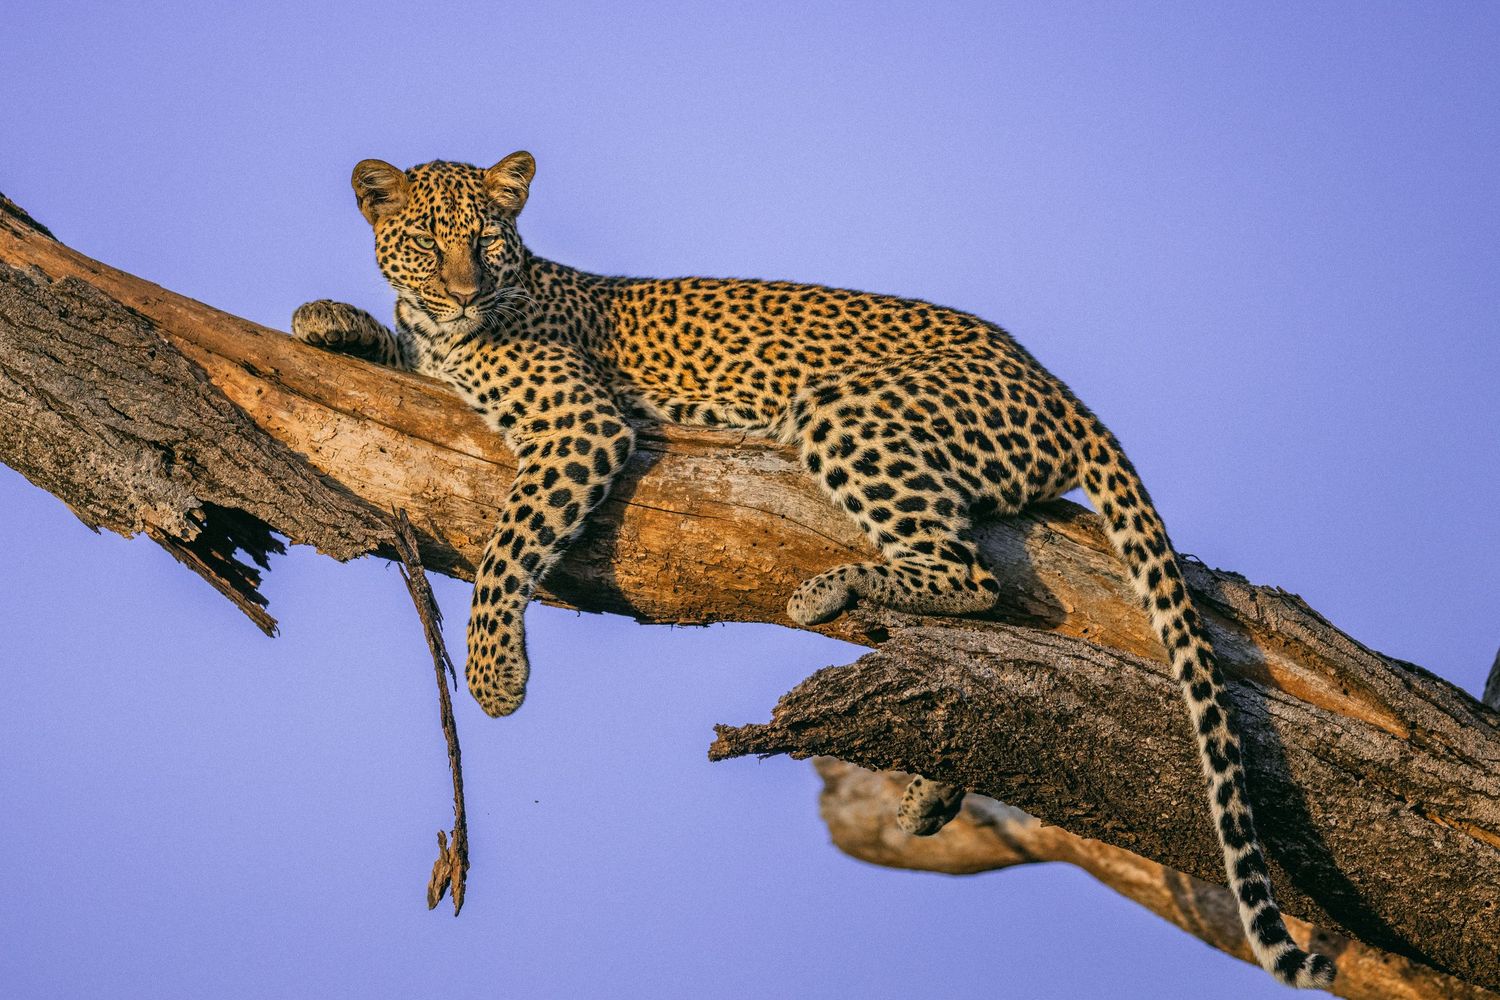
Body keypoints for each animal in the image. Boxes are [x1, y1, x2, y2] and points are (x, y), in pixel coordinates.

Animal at [292, 152, 1336, 990]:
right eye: (425, 241)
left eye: (486, 241)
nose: (465, 292)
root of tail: (1060, 389)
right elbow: (388, 346)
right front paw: (325, 319)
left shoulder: (579, 425)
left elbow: (507, 544)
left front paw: (495, 675)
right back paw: (932, 786)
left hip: (850, 409)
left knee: (972, 575)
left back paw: (833, 588)